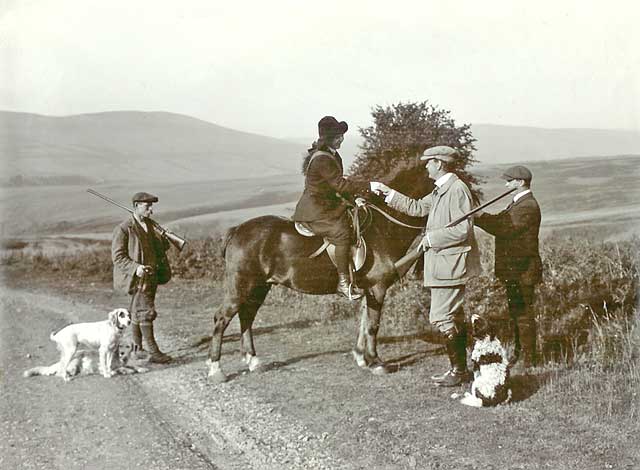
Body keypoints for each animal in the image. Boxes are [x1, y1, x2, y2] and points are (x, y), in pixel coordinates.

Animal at [208, 162, 432, 382]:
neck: (382, 226)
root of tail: (237, 230)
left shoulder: (368, 290)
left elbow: (363, 321)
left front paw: (361, 356)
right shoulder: (377, 288)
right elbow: (372, 325)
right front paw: (376, 362)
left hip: (259, 288)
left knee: (247, 317)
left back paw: (253, 361)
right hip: (241, 287)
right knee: (222, 317)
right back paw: (216, 369)